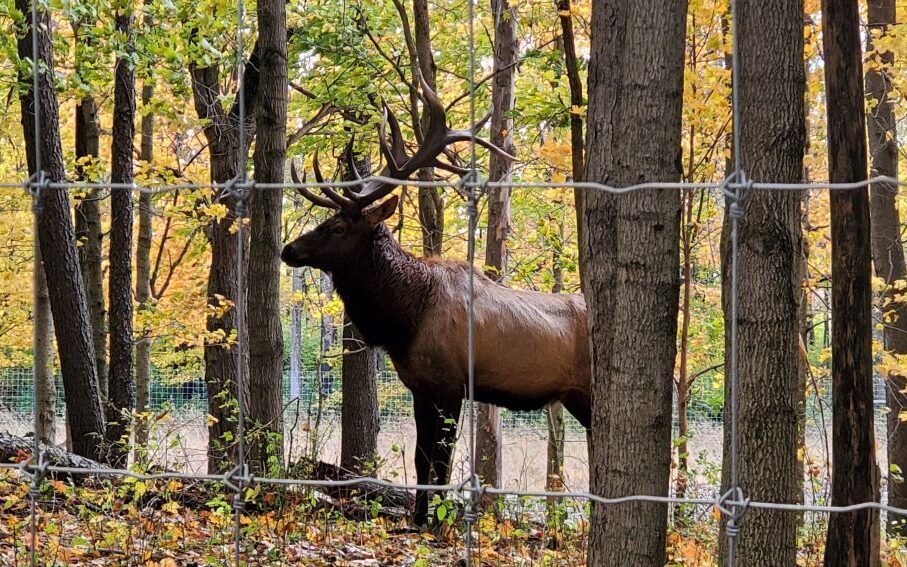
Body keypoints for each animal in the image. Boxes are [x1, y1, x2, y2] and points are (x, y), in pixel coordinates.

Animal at [281, 80, 591, 526]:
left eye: (337, 227)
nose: (288, 249)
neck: (403, 321)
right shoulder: (419, 387)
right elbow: (420, 456)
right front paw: (417, 518)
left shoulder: (449, 384)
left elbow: (442, 460)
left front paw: (439, 522)